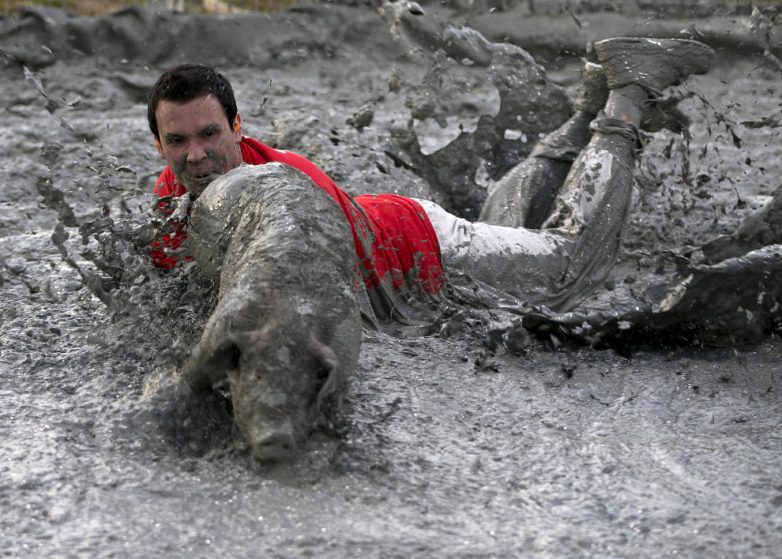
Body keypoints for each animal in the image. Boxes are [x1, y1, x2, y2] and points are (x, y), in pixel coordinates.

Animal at [180, 164, 362, 462]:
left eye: (305, 383)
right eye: (255, 376)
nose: (276, 437)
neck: (288, 316)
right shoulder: (219, 328)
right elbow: (191, 378)